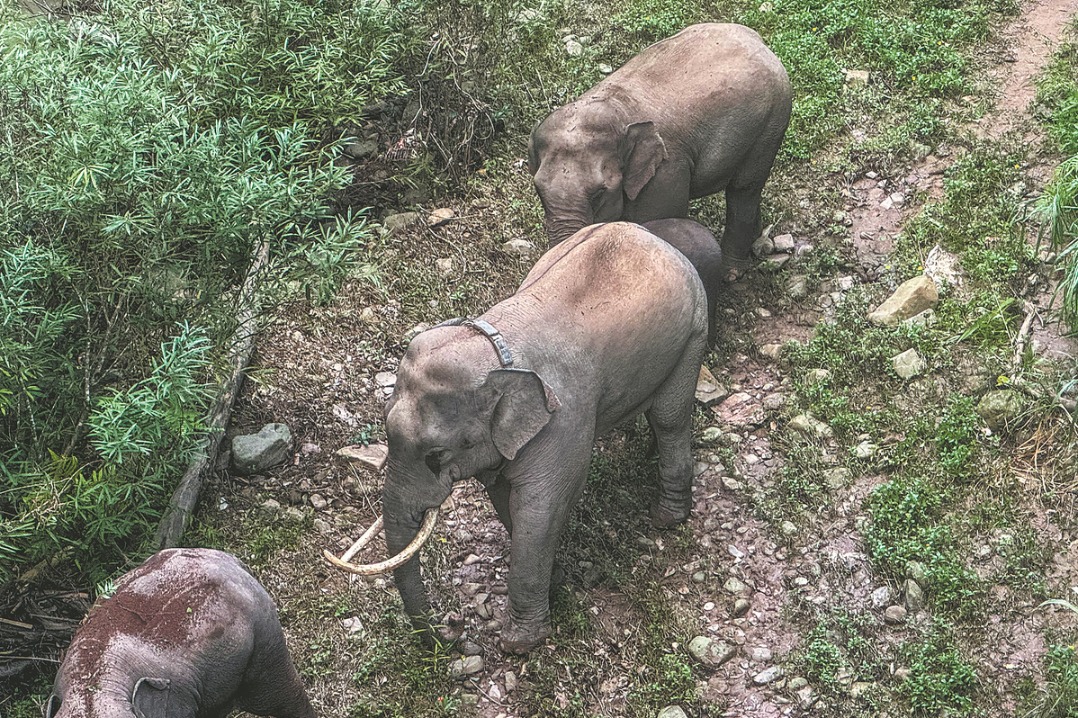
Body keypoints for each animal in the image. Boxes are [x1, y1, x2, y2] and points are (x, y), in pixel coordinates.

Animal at [332, 221, 711, 651]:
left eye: (437, 455)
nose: (451, 631)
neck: (493, 347)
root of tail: (652, 235)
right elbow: (504, 498)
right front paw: (556, 580)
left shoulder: (563, 421)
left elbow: (538, 507)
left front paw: (518, 644)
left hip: (694, 327)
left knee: (669, 417)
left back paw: (666, 518)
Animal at [528, 22, 793, 272]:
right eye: (539, 191)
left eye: (598, 194)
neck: (615, 108)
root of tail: (757, 38)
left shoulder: (665, 174)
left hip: (772, 122)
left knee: (744, 189)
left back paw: (732, 272)